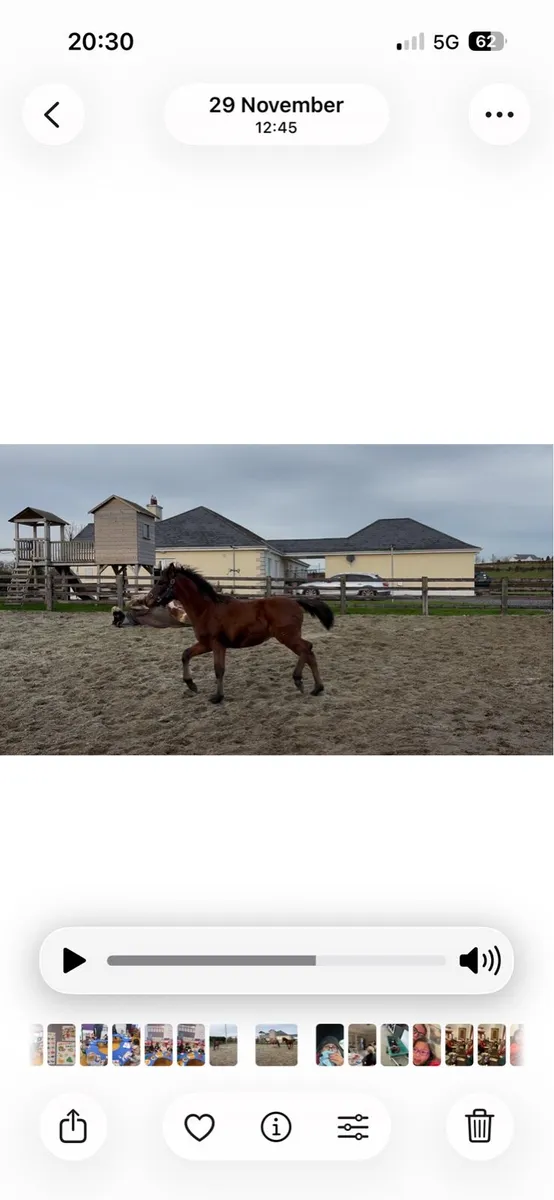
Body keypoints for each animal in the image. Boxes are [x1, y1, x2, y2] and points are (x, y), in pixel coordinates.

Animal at [143, 563, 334, 703]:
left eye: (161, 582)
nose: (147, 600)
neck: (206, 610)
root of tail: (296, 602)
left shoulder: (217, 644)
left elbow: (218, 669)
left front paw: (217, 697)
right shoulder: (206, 644)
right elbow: (186, 654)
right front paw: (191, 685)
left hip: (287, 636)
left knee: (306, 649)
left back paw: (299, 679)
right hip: (289, 637)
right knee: (309, 652)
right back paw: (317, 688)